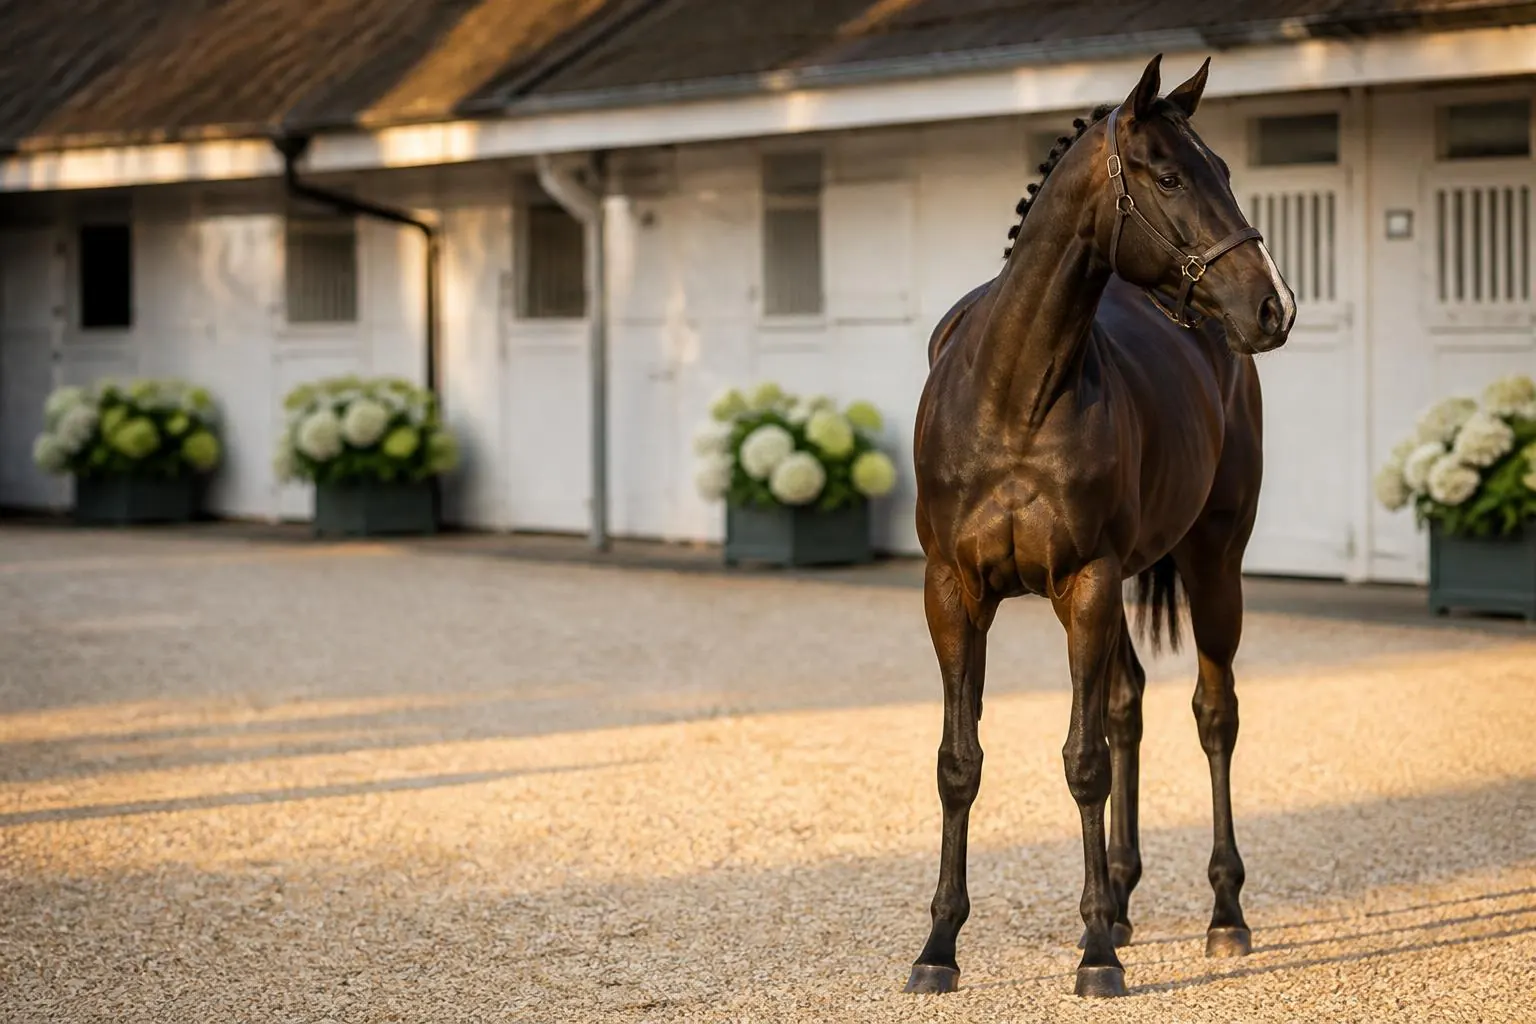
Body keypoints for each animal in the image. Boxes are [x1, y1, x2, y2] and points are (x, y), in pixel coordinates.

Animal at [904, 54, 1296, 999]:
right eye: (1170, 176)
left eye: (1225, 171)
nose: (1274, 307)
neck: (1012, 395)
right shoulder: (953, 593)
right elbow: (958, 762)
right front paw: (939, 948)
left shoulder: (1084, 582)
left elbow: (1082, 762)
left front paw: (1094, 957)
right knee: (1129, 706)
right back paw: (1118, 898)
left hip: (1212, 564)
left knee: (1213, 713)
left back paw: (1223, 915)